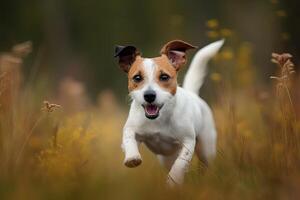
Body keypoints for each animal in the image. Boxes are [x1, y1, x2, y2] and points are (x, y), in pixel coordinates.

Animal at [113, 39, 224, 186]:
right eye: (137, 77)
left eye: (164, 77)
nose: (149, 95)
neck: (159, 119)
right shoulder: (131, 129)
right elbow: (128, 138)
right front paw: (132, 157)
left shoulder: (188, 141)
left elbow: (181, 163)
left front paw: (174, 179)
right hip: (165, 159)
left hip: (206, 148)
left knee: (205, 164)